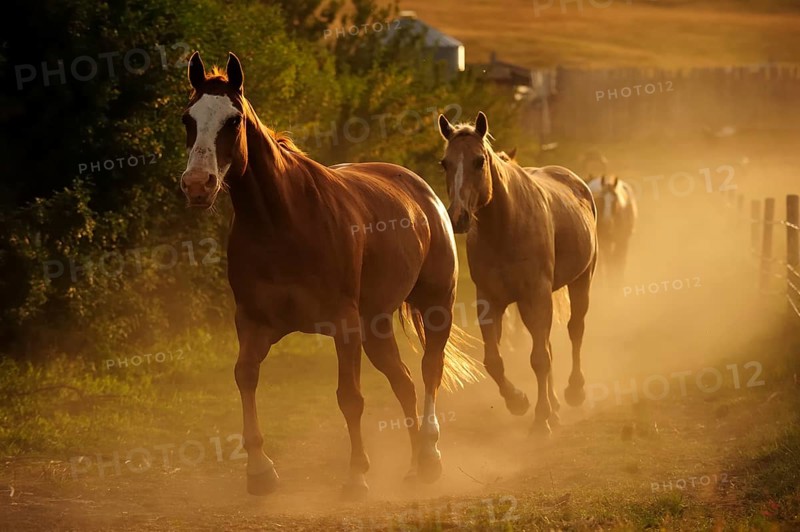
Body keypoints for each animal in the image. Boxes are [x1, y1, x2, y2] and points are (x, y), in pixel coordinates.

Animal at [179, 52, 482, 497]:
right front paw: (260, 471)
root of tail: (424, 194)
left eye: (232, 120)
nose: (198, 185)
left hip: (434, 307)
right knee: (404, 383)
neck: (283, 221)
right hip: (376, 327)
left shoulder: (343, 325)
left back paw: (429, 454)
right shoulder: (253, 322)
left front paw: (356, 475)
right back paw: (415, 467)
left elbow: (349, 397)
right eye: (189, 118)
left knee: (430, 371)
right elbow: (245, 376)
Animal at [437, 111, 597, 435]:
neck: (505, 227)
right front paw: (519, 402)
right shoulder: (491, 302)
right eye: (445, 163)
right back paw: (555, 407)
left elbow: (539, 358)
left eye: (479, 161)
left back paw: (574, 392)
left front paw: (540, 419)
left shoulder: (536, 296)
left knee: (575, 330)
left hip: (581, 281)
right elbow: (494, 361)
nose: (458, 217)